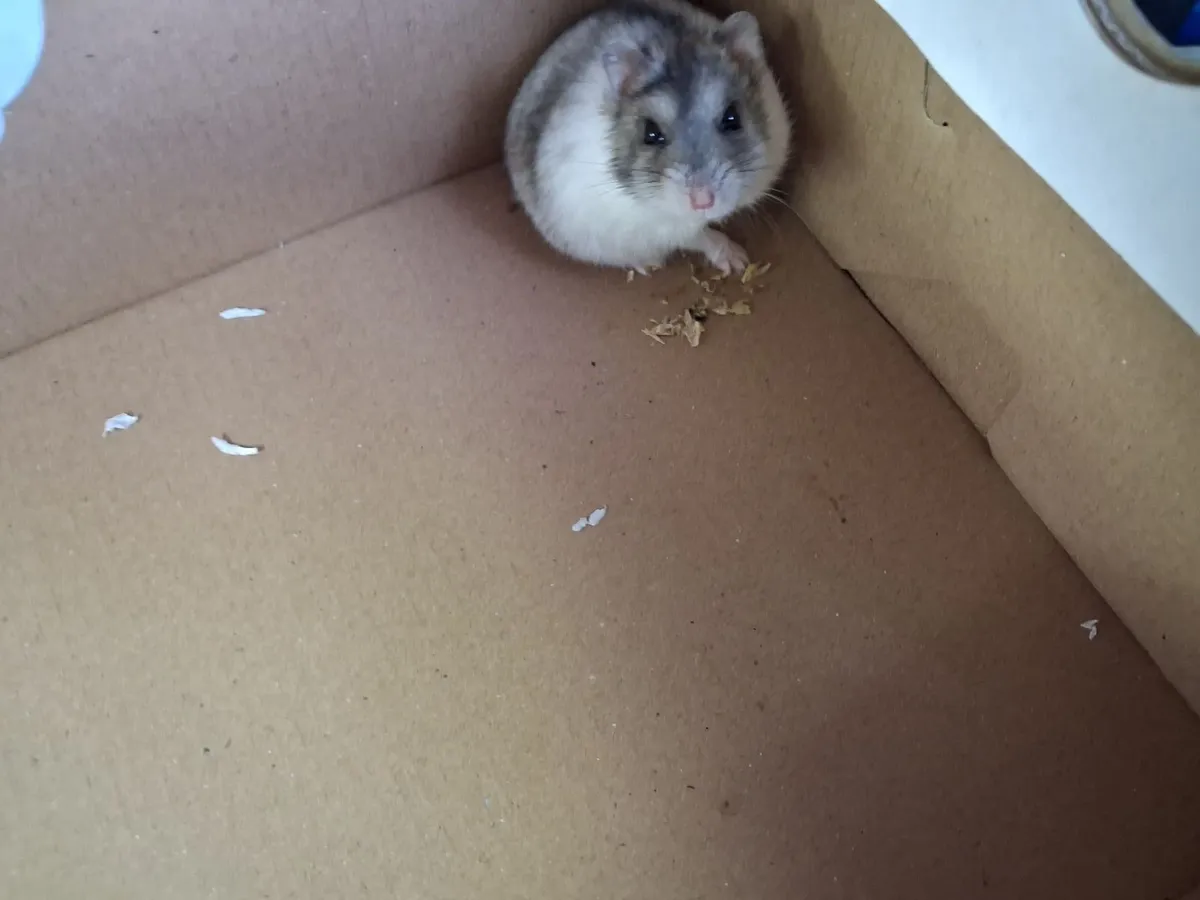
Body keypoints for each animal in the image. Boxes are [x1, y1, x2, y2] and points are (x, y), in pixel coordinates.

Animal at [504, 0, 791, 276]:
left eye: (732, 118)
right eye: (650, 133)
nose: (702, 201)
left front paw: (739, 261)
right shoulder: (657, 229)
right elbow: (697, 236)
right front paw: (737, 259)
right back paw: (646, 265)